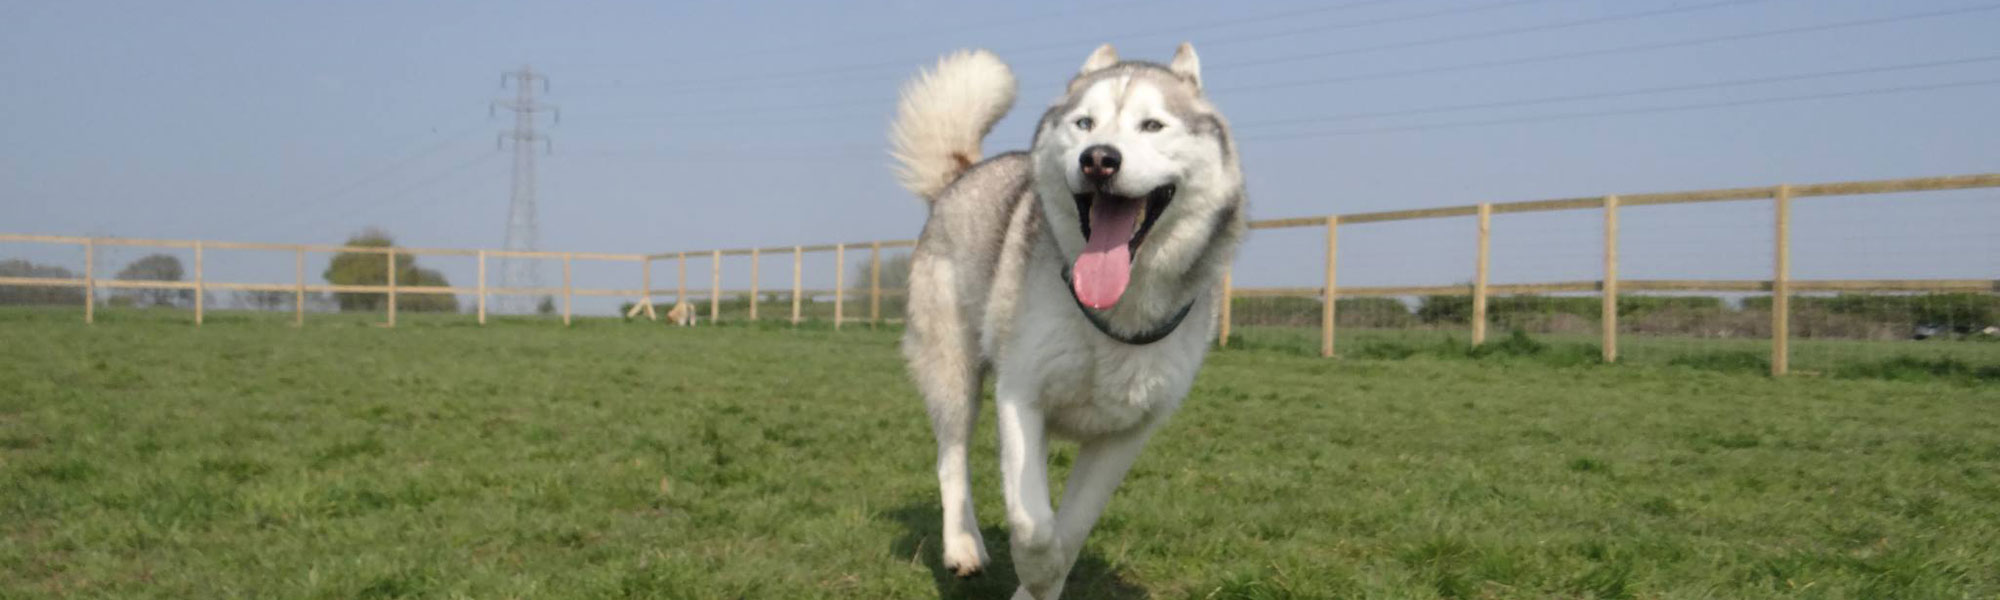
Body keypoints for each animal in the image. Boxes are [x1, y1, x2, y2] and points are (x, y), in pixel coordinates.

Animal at [888, 43, 1232, 600]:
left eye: (1152, 125)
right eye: (1084, 123)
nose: (1098, 159)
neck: (1115, 311)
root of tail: (962, 176)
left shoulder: (1127, 434)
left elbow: (1070, 530)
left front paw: (1042, 583)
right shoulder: (1020, 397)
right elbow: (1034, 526)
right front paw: (1033, 571)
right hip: (954, 371)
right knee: (952, 457)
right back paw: (963, 544)